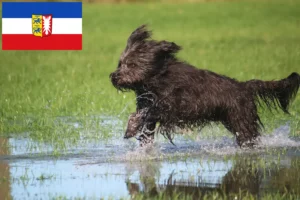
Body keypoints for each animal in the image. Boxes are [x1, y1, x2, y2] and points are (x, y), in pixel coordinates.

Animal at [110, 24, 300, 148]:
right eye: (120, 63)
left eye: (131, 64)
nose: (113, 77)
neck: (158, 76)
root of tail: (245, 86)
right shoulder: (149, 103)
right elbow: (145, 119)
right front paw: (140, 137)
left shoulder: (173, 106)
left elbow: (148, 113)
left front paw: (132, 127)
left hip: (242, 119)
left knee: (249, 136)